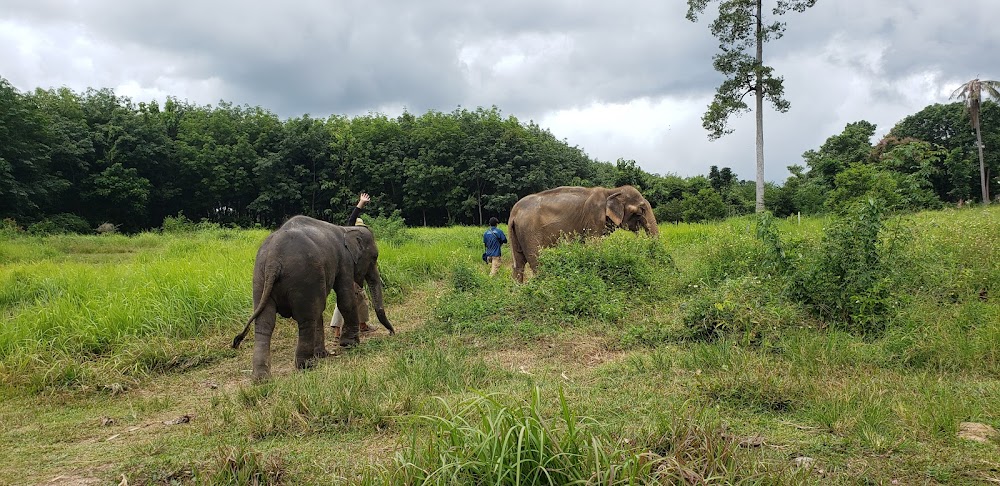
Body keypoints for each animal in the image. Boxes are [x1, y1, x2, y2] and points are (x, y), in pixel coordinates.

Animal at [232, 215, 392, 380]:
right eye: (375, 257)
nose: (391, 333)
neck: (346, 229)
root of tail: (273, 260)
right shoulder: (345, 262)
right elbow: (345, 299)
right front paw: (349, 344)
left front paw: (323, 354)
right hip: (303, 276)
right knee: (306, 319)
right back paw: (306, 365)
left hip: (260, 278)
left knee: (265, 323)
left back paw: (261, 378)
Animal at [512, 187, 660, 284]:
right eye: (641, 210)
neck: (611, 190)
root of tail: (513, 213)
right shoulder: (594, 216)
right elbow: (594, 245)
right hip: (530, 232)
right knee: (537, 261)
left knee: (518, 263)